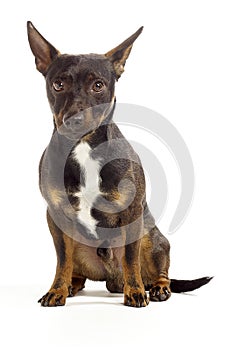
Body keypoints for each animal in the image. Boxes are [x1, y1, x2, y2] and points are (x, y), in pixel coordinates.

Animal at [27, 21, 212, 306]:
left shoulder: (132, 214)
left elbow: (130, 259)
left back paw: (155, 288)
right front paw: (57, 290)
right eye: (58, 84)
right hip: (79, 245)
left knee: (157, 271)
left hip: (153, 240)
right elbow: (62, 261)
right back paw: (71, 285)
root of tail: (112, 279)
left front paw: (135, 291)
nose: (74, 118)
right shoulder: (56, 216)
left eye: (98, 85)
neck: (84, 147)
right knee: (76, 270)